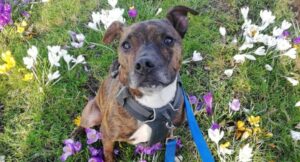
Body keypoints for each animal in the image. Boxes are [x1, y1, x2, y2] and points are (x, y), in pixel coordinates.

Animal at [78, 5, 198, 161]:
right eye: (126, 45)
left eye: (168, 40)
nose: (144, 64)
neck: (154, 103)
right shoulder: (108, 136)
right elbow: (108, 153)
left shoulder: (171, 128)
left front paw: (175, 154)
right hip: (91, 116)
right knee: (82, 124)